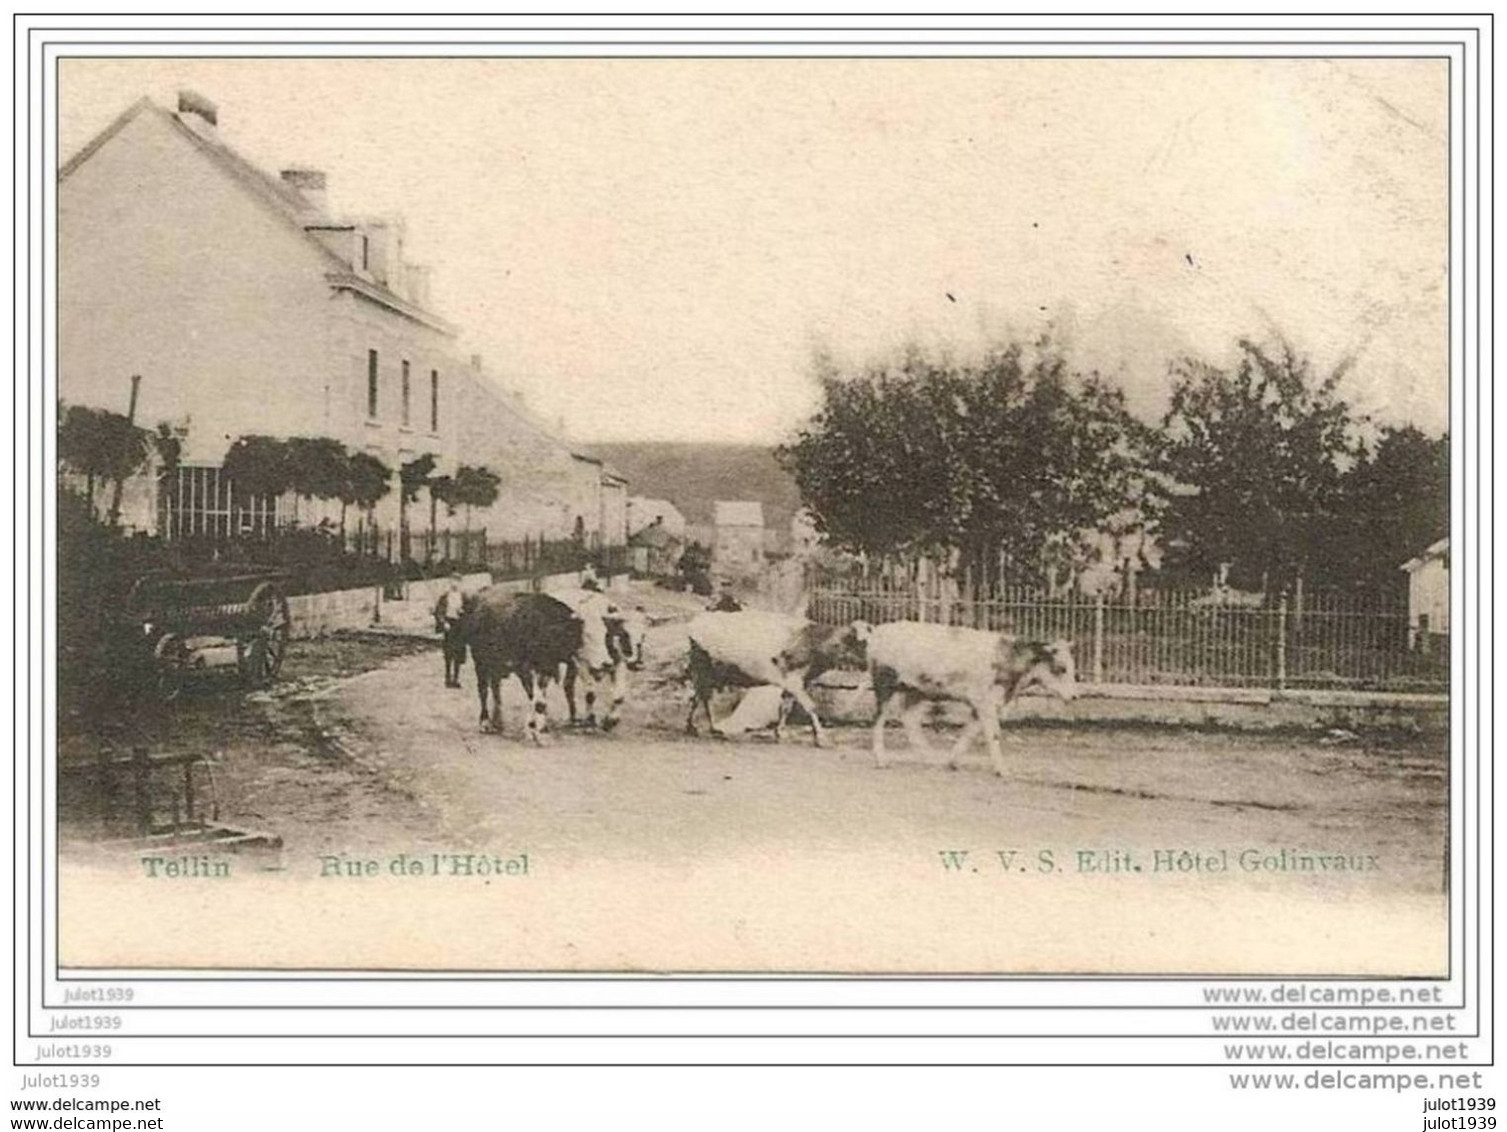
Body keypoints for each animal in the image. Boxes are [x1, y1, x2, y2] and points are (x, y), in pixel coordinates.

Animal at [687, 611, 874, 753]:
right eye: (862, 643)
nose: (871, 663)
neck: (812, 640)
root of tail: (696, 621)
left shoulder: (797, 682)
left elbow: (786, 707)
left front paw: (780, 733)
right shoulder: (793, 680)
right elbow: (810, 706)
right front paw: (822, 739)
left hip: (712, 671)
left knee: (700, 696)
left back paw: (707, 728)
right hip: (702, 666)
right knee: (701, 696)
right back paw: (697, 728)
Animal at [868, 624, 1079, 777]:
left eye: (1072, 667)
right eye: (1061, 668)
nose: (1075, 695)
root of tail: (880, 630)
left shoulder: (984, 704)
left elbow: (970, 733)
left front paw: (952, 762)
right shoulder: (984, 701)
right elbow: (993, 734)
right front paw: (1003, 770)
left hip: (917, 690)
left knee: (909, 719)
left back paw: (931, 757)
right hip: (885, 684)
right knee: (879, 721)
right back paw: (882, 760)